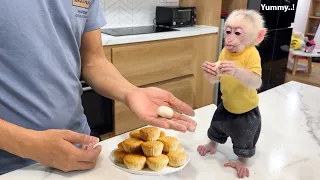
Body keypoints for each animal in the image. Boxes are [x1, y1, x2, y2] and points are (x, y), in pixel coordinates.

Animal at [198, 9, 268, 178]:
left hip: (247, 129)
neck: (237, 53)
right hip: (219, 118)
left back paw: (240, 164)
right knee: (215, 133)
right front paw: (207, 68)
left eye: (237, 33)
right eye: (228, 31)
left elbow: (255, 79)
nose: (229, 39)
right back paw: (210, 146)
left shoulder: (254, 56)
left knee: (244, 145)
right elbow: (215, 77)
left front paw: (233, 68)